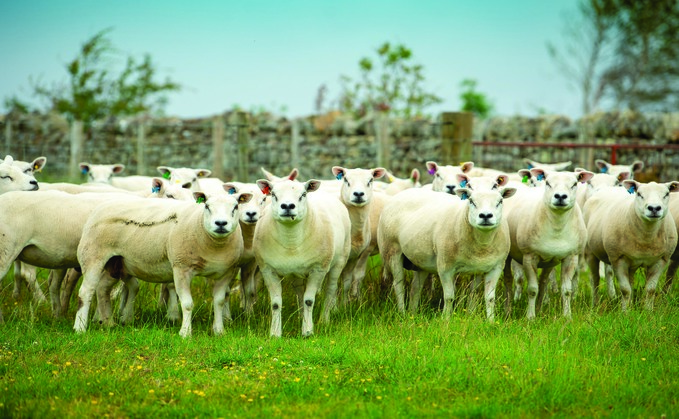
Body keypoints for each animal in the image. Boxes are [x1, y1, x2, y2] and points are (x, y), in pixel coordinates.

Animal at [74, 185, 254, 340]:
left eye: (235, 207)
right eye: (207, 206)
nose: (221, 224)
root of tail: (102, 206)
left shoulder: (227, 272)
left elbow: (219, 301)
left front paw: (219, 331)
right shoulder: (181, 268)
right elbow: (187, 304)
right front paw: (185, 333)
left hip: (116, 263)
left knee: (102, 288)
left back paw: (108, 322)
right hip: (92, 255)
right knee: (86, 292)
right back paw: (80, 328)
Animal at [254, 177, 350, 338]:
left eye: (303, 194)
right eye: (273, 194)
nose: (287, 206)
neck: (291, 240)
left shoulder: (318, 269)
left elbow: (309, 301)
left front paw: (308, 331)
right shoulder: (267, 269)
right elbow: (276, 304)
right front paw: (275, 333)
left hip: (340, 260)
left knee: (330, 290)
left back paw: (324, 320)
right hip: (296, 271)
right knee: (299, 290)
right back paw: (300, 315)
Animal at [378, 185, 516, 320]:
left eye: (500, 201)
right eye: (471, 201)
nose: (486, 216)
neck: (482, 244)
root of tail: (405, 192)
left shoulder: (495, 267)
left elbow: (488, 297)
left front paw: (490, 321)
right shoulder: (445, 267)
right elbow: (449, 297)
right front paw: (446, 320)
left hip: (420, 260)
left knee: (415, 288)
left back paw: (413, 314)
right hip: (391, 250)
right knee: (398, 285)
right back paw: (402, 313)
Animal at [504, 169, 596, 320]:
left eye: (574, 184)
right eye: (548, 183)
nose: (560, 196)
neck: (557, 225)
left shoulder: (571, 257)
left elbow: (566, 290)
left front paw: (567, 317)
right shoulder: (529, 257)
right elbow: (532, 290)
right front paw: (530, 317)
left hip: (549, 261)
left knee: (543, 282)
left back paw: (540, 308)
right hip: (507, 256)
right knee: (508, 280)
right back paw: (508, 309)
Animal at [584, 180, 679, 312]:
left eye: (666, 194)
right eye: (639, 194)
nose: (654, 208)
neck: (646, 237)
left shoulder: (661, 260)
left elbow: (650, 290)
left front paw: (647, 312)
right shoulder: (618, 259)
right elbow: (625, 289)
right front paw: (625, 312)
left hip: (632, 263)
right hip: (590, 252)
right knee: (595, 280)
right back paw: (595, 305)